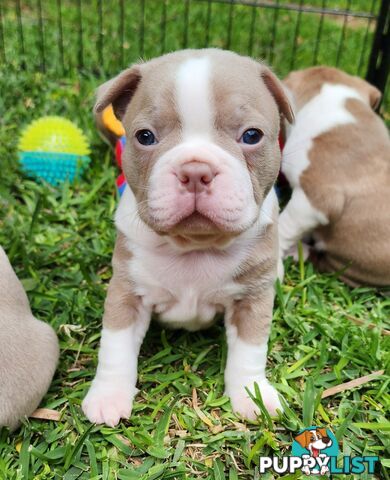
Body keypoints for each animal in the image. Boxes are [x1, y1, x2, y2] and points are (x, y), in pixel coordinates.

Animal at [84, 48, 294, 426]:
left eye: (252, 136)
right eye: (145, 137)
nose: (196, 171)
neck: (196, 244)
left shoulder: (252, 300)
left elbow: (250, 350)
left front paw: (251, 394)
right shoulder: (127, 293)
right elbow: (115, 346)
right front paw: (109, 396)